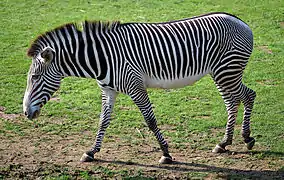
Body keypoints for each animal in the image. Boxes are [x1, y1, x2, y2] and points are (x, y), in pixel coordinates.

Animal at [23, 11, 256, 164]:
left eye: (34, 77)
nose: (25, 113)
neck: (101, 58)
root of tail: (242, 22)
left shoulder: (136, 87)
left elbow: (150, 120)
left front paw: (165, 153)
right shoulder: (108, 90)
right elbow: (103, 121)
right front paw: (91, 152)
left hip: (227, 71)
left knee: (247, 96)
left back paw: (244, 138)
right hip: (222, 73)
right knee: (234, 101)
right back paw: (225, 142)